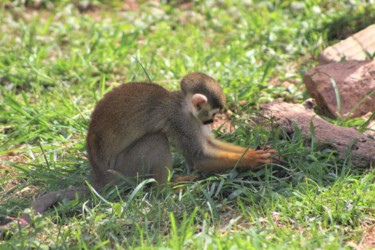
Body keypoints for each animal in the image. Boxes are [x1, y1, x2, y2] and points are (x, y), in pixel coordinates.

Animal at [22, 72, 280, 221]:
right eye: (213, 114)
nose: (211, 122)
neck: (182, 105)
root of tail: (101, 177)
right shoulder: (180, 120)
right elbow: (198, 156)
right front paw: (252, 160)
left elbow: (208, 144)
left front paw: (255, 153)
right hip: (125, 170)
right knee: (156, 139)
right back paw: (166, 189)